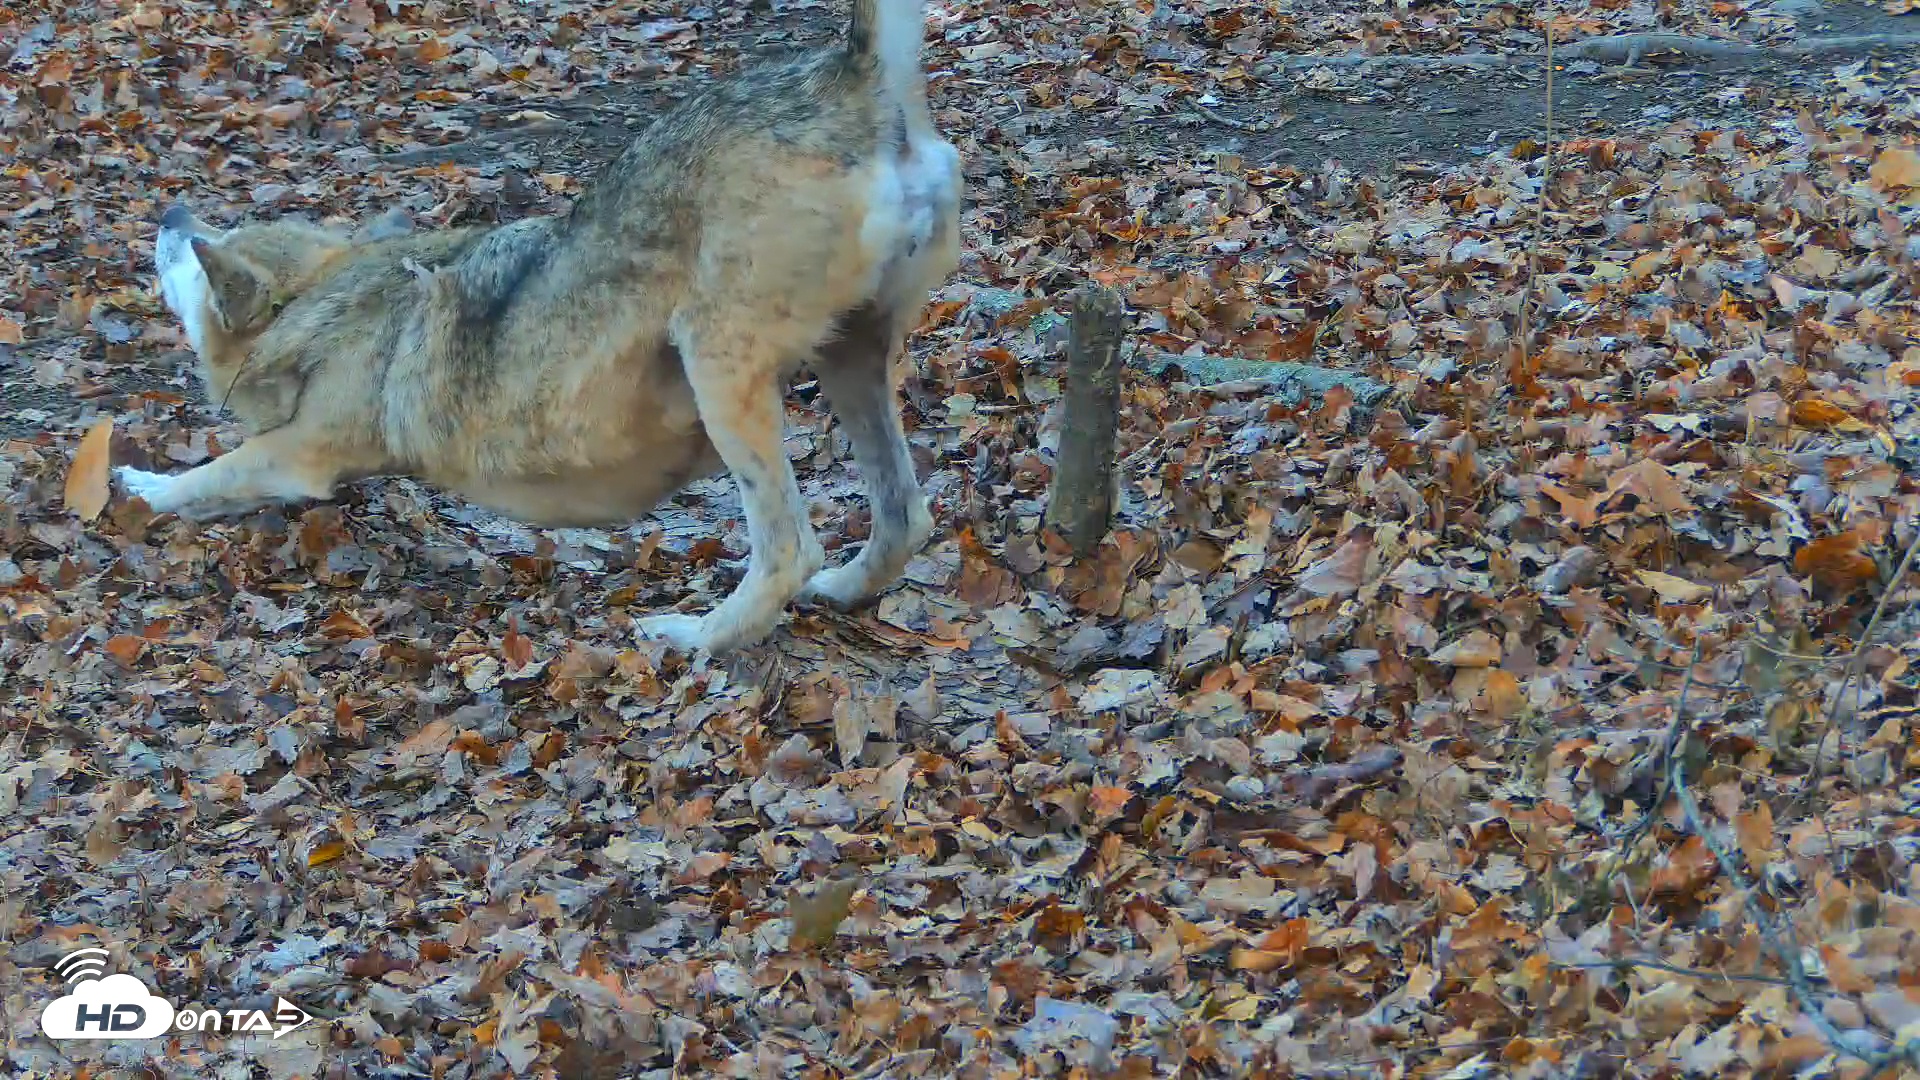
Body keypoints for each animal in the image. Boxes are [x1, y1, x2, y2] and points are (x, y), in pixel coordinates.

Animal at [117, 0, 963, 655]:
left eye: (203, 252)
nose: (170, 213)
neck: (320, 308)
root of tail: (849, 75)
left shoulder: (300, 454)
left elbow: (209, 474)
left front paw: (137, 485)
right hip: (851, 361)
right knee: (904, 518)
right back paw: (842, 590)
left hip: (720, 370)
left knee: (790, 548)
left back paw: (693, 638)